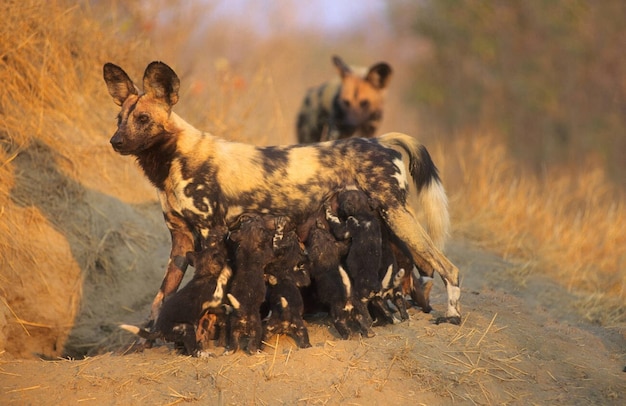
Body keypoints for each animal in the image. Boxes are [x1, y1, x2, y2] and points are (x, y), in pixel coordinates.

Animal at [102, 61, 460, 330]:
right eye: (119, 119)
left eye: (143, 119)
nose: (115, 142)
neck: (174, 157)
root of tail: (379, 140)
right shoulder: (181, 241)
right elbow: (160, 298)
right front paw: (146, 340)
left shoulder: (210, 234)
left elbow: (207, 290)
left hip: (397, 216)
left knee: (448, 267)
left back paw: (452, 315)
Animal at [120, 225, 232, 356]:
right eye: (220, 249)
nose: (225, 236)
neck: (204, 274)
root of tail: (159, 330)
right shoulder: (214, 298)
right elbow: (223, 276)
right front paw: (227, 270)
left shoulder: (210, 306)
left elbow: (221, 309)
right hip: (186, 328)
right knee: (193, 351)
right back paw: (204, 354)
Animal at [227, 214, 270, 354]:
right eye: (258, 221)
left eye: (243, 223)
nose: (256, 215)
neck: (249, 242)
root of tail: (242, 313)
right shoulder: (266, 255)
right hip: (256, 329)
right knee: (251, 347)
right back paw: (257, 352)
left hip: (233, 331)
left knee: (234, 346)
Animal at [264, 217, 312, 348]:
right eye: (297, 239)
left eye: (287, 237)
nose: (293, 232)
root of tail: (286, 315)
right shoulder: (301, 278)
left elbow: (276, 240)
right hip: (300, 329)